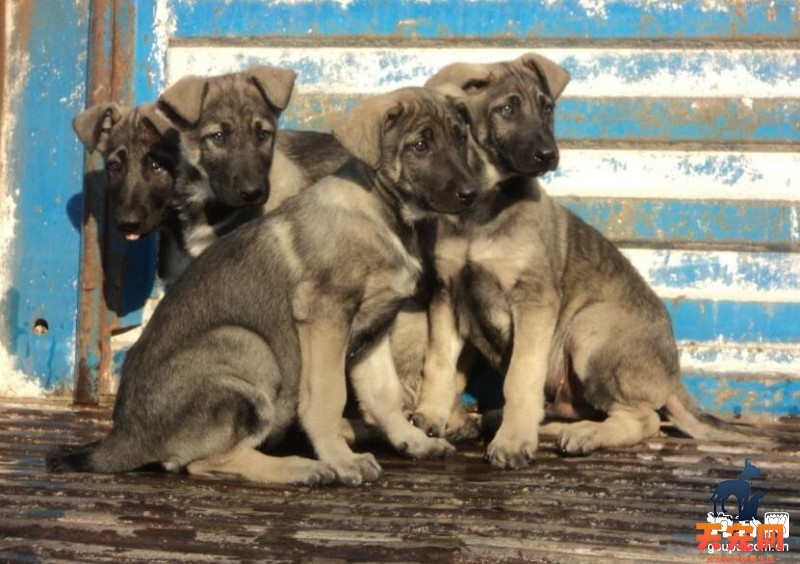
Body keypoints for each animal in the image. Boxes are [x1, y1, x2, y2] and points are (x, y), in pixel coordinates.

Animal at [45, 86, 476, 486]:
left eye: (460, 138)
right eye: (419, 145)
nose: (470, 194)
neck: (386, 214)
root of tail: (123, 438)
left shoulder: (375, 328)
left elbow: (384, 393)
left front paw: (410, 439)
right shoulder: (325, 316)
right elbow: (328, 396)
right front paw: (341, 459)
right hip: (249, 346)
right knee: (201, 462)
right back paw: (300, 467)